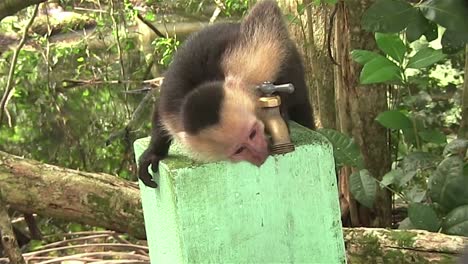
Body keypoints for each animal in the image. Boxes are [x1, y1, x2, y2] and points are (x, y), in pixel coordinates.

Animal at [138, 0, 314, 188]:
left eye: (252, 134)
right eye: (239, 150)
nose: (260, 153)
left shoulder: (250, 64)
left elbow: (266, 15)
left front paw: (280, 113)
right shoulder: (172, 107)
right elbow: (160, 110)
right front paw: (154, 152)